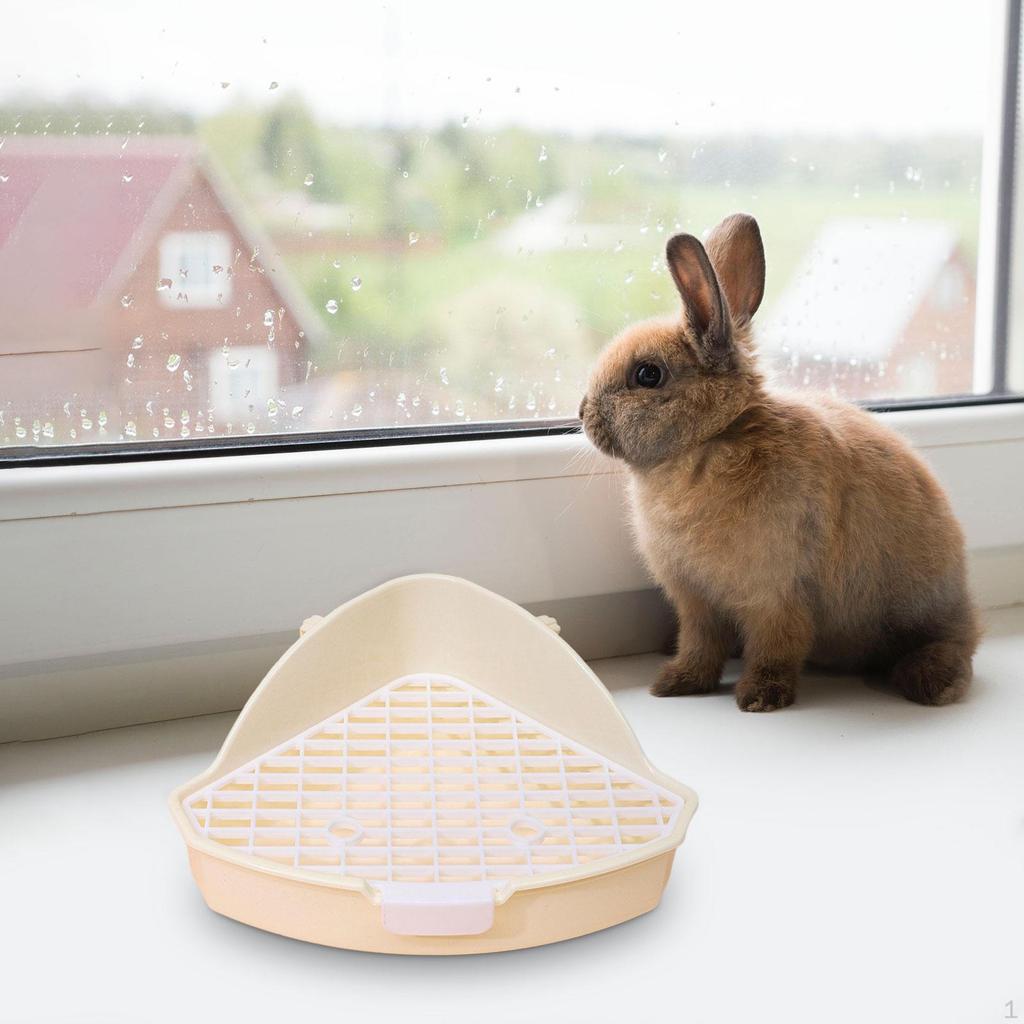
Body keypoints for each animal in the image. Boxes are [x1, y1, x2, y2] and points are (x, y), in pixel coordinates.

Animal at [579, 213, 978, 712]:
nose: (582, 413)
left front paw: (760, 697)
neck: (713, 438)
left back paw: (932, 683)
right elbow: (699, 644)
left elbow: (777, 645)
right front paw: (676, 683)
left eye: (648, 374)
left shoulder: (776, 594)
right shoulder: (696, 602)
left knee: (955, 645)